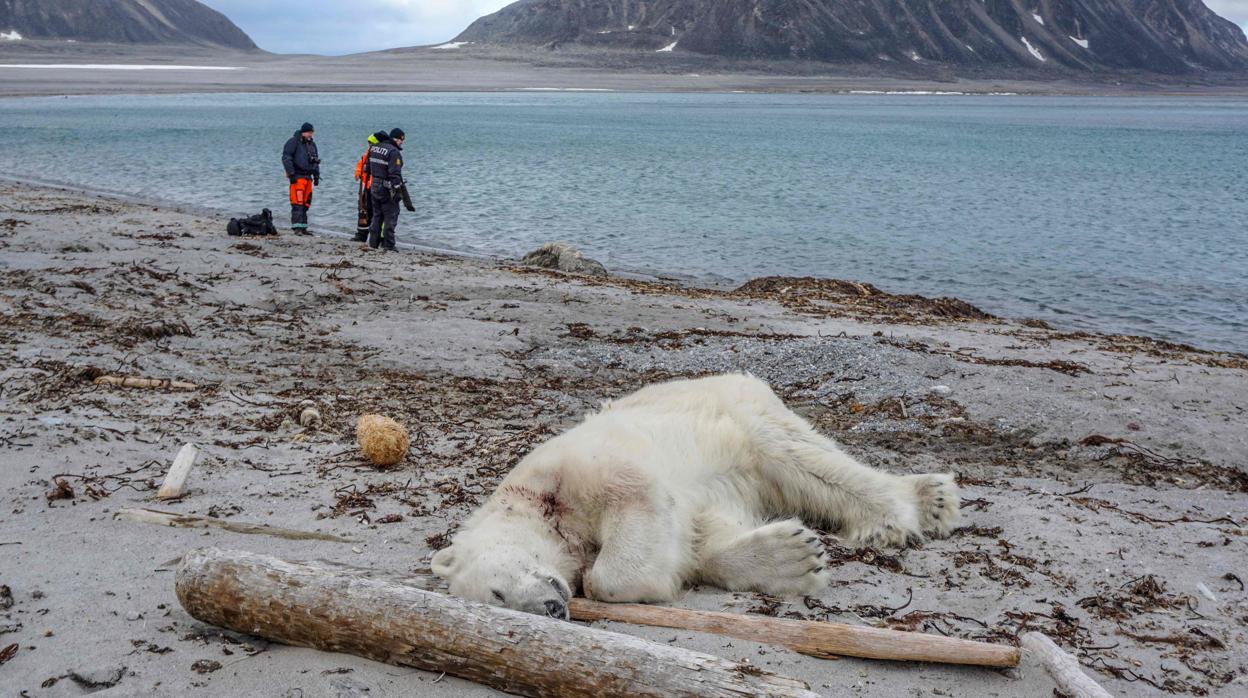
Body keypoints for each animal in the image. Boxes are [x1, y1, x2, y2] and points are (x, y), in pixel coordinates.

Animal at [434, 374, 958, 619]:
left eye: (497, 592)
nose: (552, 608)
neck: (535, 506)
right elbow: (702, 535)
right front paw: (791, 557)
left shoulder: (574, 470)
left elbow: (633, 512)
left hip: (739, 412)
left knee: (799, 458)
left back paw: (913, 507)